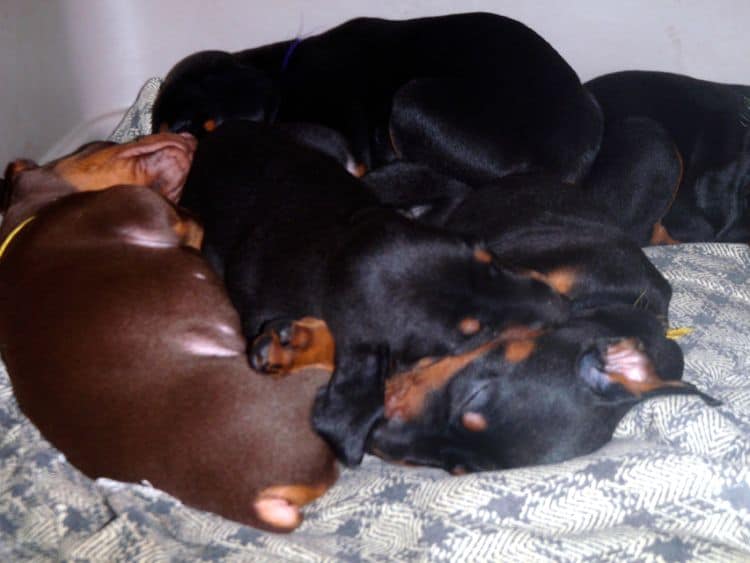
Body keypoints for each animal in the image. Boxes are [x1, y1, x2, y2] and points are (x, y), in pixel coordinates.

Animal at [0, 134, 338, 536]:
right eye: (99, 144)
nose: (190, 137)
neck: (33, 215)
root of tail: (255, 502)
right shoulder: (143, 205)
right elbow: (189, 221)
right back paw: (302, 339)